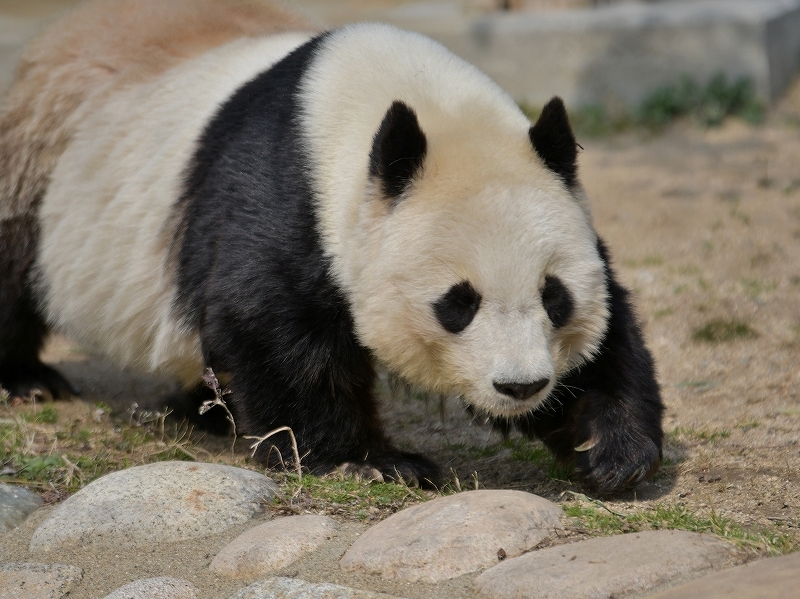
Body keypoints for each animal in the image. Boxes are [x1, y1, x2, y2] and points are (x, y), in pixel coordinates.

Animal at [0, 0, 664, 492]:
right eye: (458, 303)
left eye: (555, 297)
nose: (521, 387)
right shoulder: (287, 200)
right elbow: (273, 326)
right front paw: (372, 461)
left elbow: (610, 334)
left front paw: (609, 447)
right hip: (38, 156)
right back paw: (29, 382)